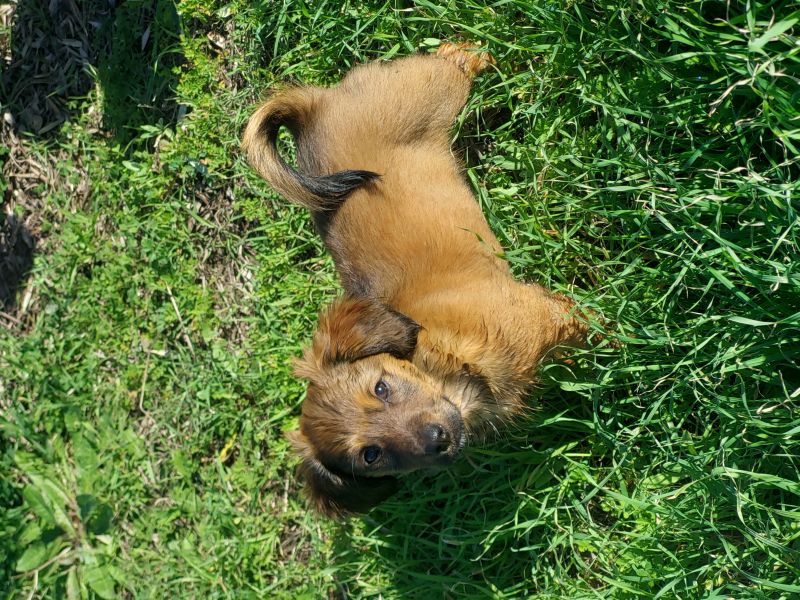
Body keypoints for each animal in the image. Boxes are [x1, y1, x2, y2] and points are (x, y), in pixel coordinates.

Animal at [242, 44, 588, 516]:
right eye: (371, 455)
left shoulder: (548, 313)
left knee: (455, 54)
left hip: (436, 90)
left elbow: (602, 331)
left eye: (382, 387)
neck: (447, 359)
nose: (437, 440)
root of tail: (312, 108)